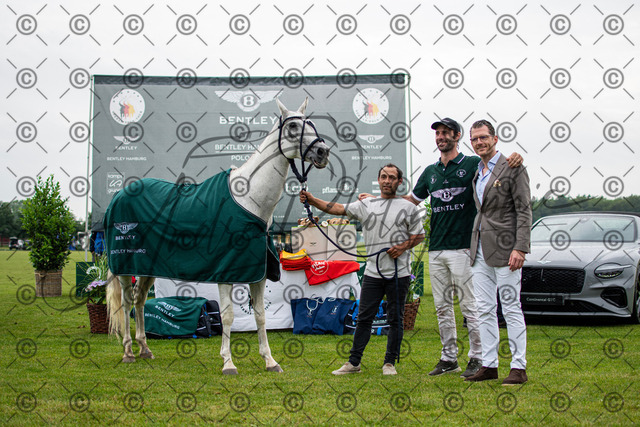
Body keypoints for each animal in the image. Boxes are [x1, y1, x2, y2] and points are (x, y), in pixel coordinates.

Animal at [104, 98, 330, 374]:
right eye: (293, 126)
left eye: (312, 124)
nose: (322, 152)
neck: (249, 200)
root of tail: (119, 195)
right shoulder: (226, 273)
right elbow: (228, 316)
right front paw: (228, 363)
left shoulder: (257, 273)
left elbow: (260, 315)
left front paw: (270, 361)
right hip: (126, 266)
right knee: (126, 302)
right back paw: (128, 352)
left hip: (147, 267)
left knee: (139, 300)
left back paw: (145, 349)